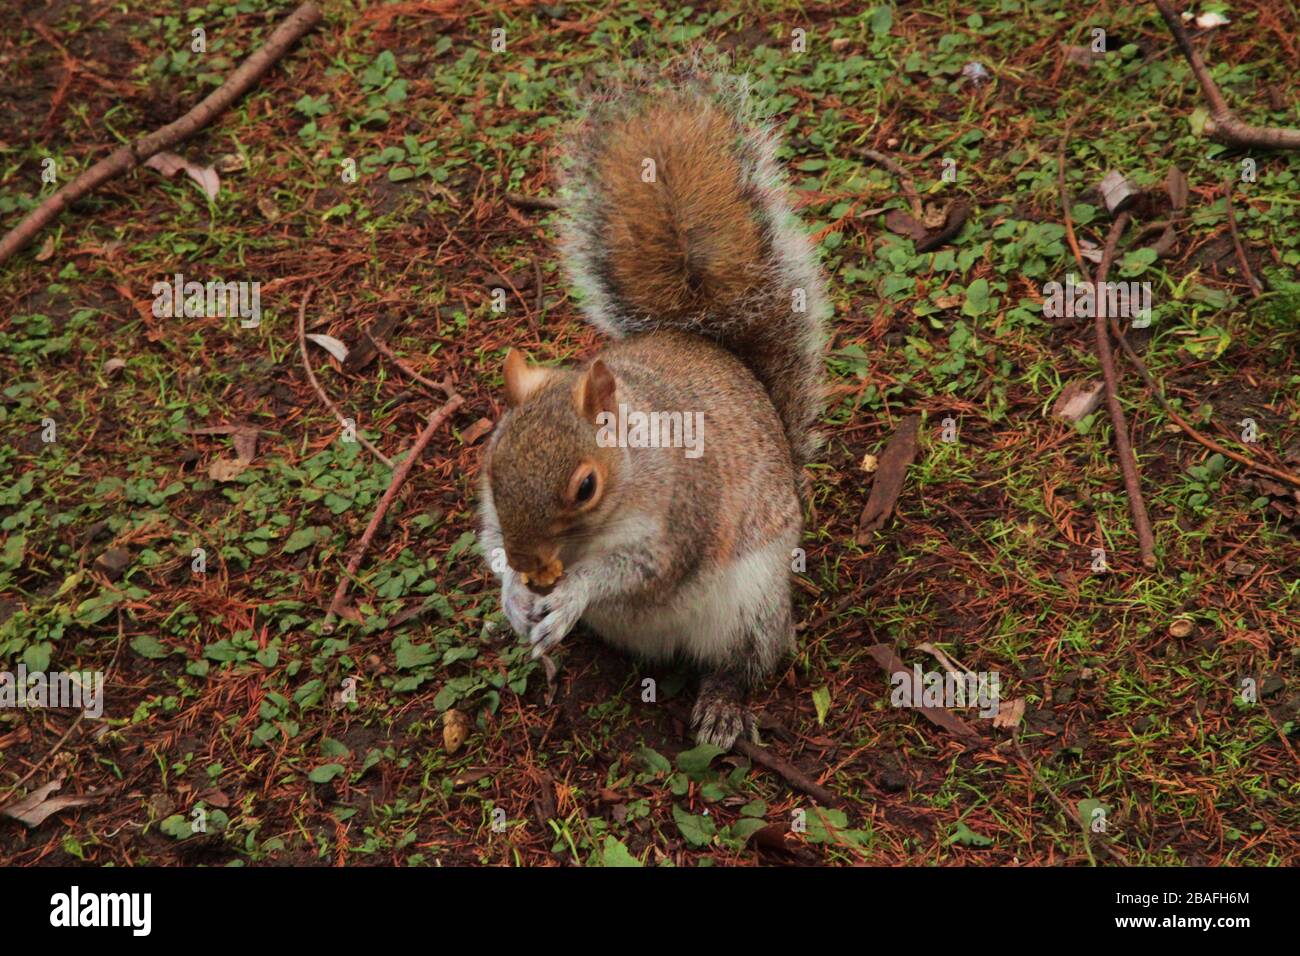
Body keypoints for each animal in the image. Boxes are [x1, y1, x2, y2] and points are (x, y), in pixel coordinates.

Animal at [478, 69, 829, 750]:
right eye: (492, 467)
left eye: (585, 487)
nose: (533, 570)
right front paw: (511, 594)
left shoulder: (679, 518)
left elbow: (637, 572)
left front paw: (570, 595)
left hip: (752, 603)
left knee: (748, 659)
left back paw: (721, 705)